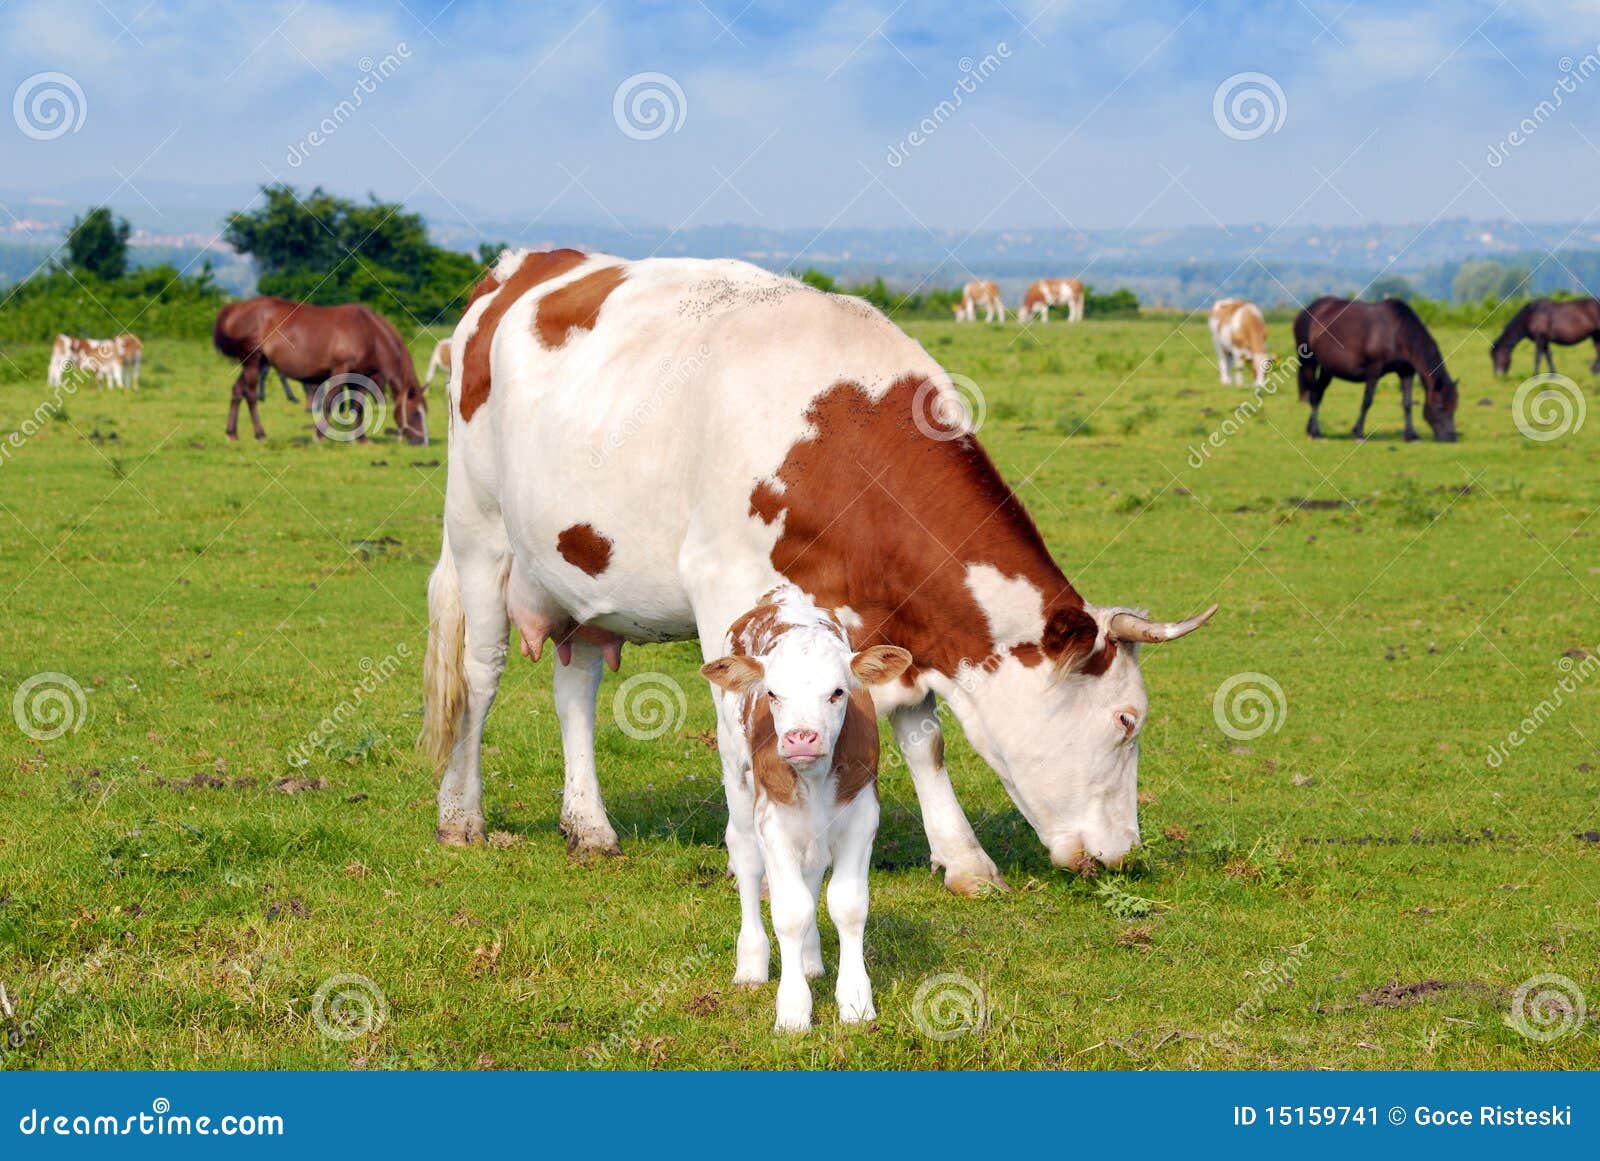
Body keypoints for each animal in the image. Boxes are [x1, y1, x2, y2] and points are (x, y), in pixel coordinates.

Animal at [212, 297, 428, 444]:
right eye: (415, 413)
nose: (422, 442)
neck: (368, 332)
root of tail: (236, 307)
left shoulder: (361, 376)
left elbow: (357, 405)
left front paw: (361, 439)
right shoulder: (340, 370)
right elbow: (330, 402)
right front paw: (319, 436)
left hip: (257, 363)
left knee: (237, 391)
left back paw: (232, 433)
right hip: (253, 362)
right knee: (250, 395)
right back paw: (260, 434)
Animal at [420, 248, 1215, 917]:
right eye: (1127, 721)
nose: (1124, 854)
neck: (840, 440)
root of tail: (519, 266)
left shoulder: (888, 623)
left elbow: (923, 736)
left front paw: (964, 860)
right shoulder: (726, 594)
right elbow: (740, 733)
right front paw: (765, 862)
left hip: (582, 567)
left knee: (576, 687)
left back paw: (589, 825)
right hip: (478, 534)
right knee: (480, 676)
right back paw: (461, 815)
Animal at [700, 584, 911, 1030]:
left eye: (837, 692)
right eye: (773, 694)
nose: (801, 738)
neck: (814, 779)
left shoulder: (862, 816)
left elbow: (848, 905)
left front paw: (856, 1001)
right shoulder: (772, 823)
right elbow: (790, 911)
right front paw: (794, 1010)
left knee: (812, 871)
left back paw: (812, 960)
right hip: (735, 773)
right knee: (746, 859)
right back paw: (752, 964)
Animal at [1293, 297, 1459, 442]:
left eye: (1455, 407)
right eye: (1440, 407)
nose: (1451, 438)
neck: (1397, 333)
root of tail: (1307, 311)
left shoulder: (1406, 372)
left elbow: (1407, 403)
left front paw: (1411, 436)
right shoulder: (1374, 369)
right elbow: (1367, 400)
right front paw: (1359, 433)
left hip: (1327, 369)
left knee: (1318, 393)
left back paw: (1313, 430)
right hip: (1309, 363)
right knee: (1314, 395)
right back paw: (1315, 433)